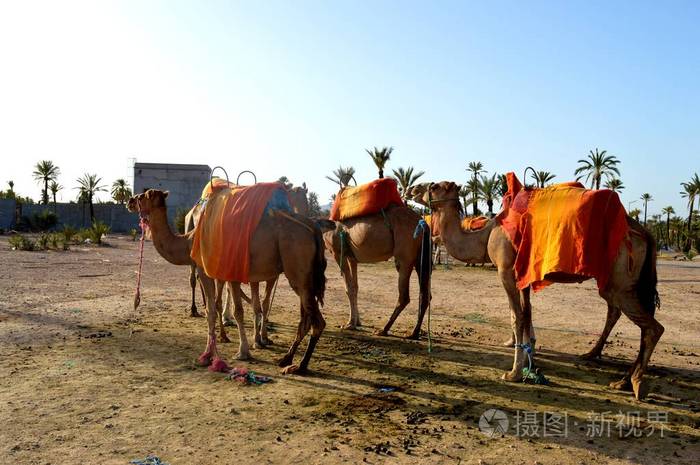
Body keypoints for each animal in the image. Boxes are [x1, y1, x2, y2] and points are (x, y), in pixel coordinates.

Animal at [127, 188, 326, 374]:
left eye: (142, 196)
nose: (129, 201)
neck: (189, 241)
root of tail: (314, 230)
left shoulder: (206, 271)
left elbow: (217, 311)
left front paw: (219, 354)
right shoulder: (228, 274)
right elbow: (227, 307)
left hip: (298, 271)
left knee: (317, 322)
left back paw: (300, 366)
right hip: (305, 279)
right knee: (306, 319)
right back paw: (286, 359)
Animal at [318, 205, 432, 338]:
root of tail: (423, 224)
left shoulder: (338, 253)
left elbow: (348, 289)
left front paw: (350, 324)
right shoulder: (352, 258)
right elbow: (354, 287)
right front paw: (357, 322)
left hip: (405, 258)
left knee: (404, 296)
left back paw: (384, 330)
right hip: (421, 258)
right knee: (425, 295)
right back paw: (414, 333)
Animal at [408, 181, 664, 398]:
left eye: (434, 186)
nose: (411, 188)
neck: (486, 234)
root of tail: (647, 234)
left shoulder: (506, 270)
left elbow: (517, 316)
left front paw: (513, 373)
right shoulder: (524, 277)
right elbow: (527, 313)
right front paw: (530, 360)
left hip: (620, 280)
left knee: (651, 327)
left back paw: (635, 382)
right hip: (623, 282)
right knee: (626, 315)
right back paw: (618, 376)